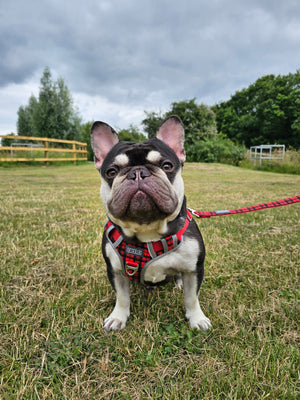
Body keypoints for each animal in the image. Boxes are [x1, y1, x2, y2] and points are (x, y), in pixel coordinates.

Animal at [91, 115, 211, 332]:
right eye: (111, 171)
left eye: (167, 166)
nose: (138, 172)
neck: (147, 229)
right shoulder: (115, 270)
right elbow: (122, 297)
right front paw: (118, 317)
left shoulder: (194, 269)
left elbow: (192, 298)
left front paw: (197, 319)